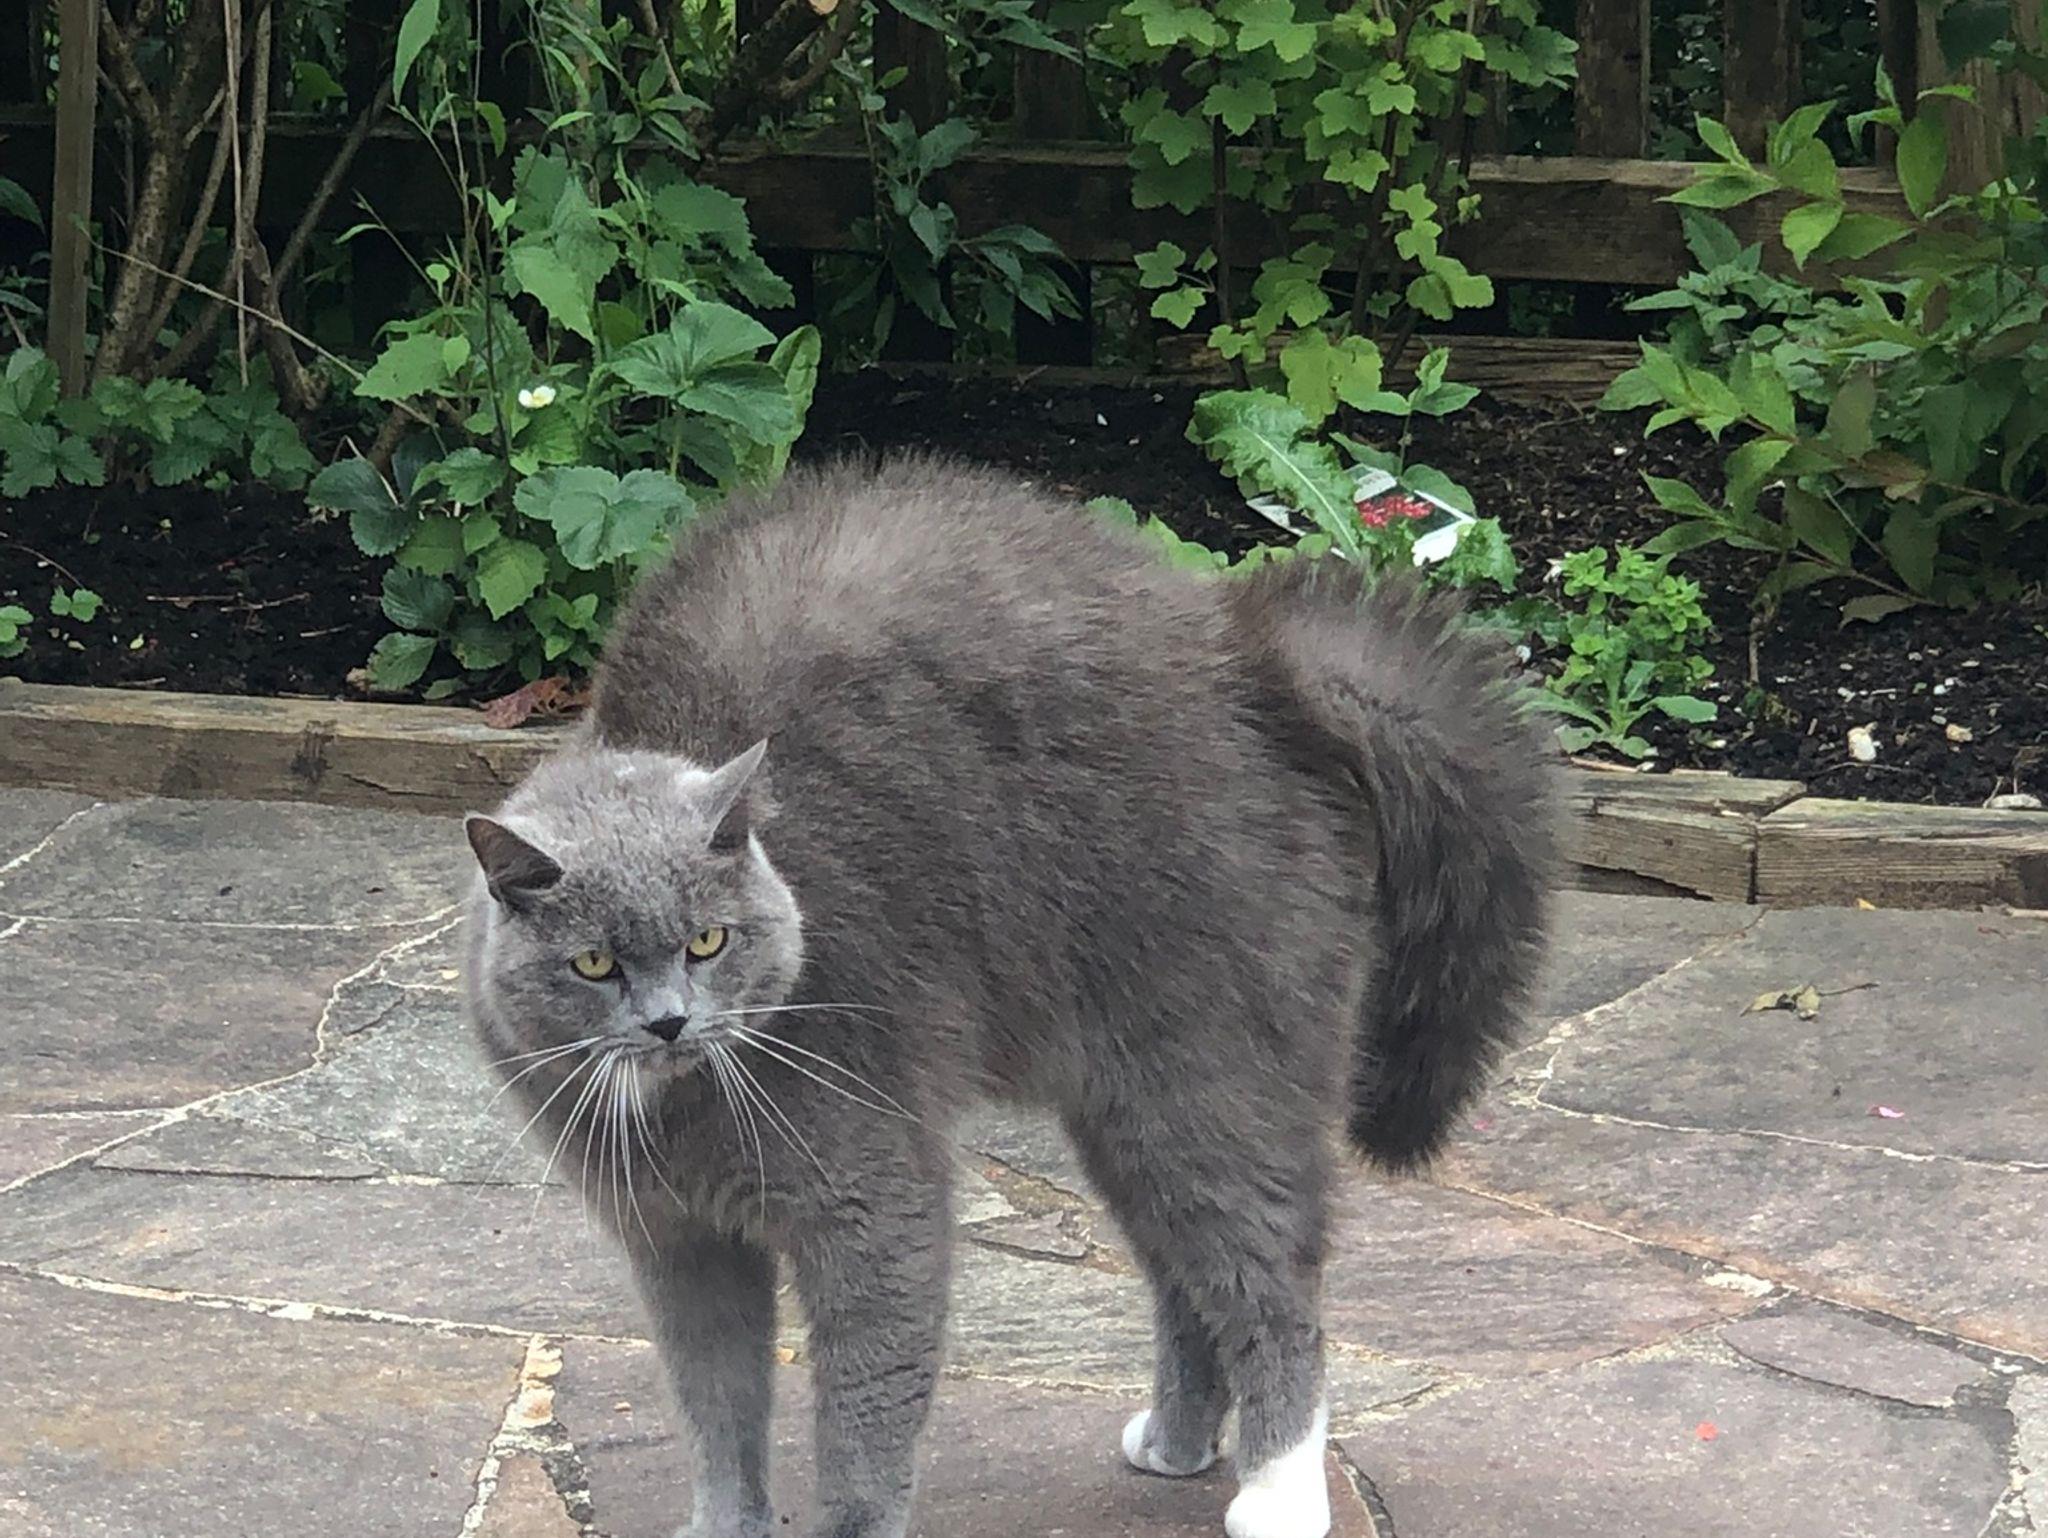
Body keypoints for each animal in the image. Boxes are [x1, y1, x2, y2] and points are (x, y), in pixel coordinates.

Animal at [462, 455, 1555, 1538]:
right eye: (593, 965)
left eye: (707, 940)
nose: (669, 1020)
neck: (680, 1115)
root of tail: (1260, 667)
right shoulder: (675, 1239)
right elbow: (718, 1407)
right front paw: (725, 1523)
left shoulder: (873, 1200)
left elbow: (864, 1408)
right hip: (1123, 1109)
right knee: (1184, 1277)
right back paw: (1178, 1443)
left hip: (1210, 1078)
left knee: (1270, 1283)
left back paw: (1279, 1493)